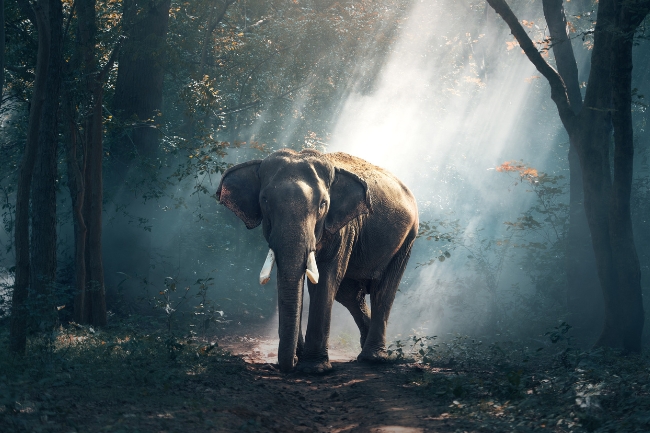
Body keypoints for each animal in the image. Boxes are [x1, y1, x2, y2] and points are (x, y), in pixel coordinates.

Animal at [216, 148, 418, 373]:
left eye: (323, 204)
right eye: (265, 200)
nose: (290, 364)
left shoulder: (343, 228)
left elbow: (326, 279)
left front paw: (314, 369)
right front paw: (300, 358)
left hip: (407, 239)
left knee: (382, 291)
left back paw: (373, 358)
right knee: (350, 294)